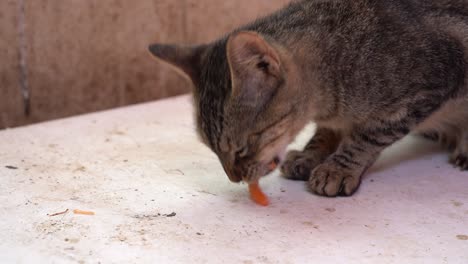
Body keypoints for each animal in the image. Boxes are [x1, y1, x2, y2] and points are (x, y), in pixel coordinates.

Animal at [148, 0, 466, 197]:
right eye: (213, 150)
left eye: (242, 148)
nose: (234, 178)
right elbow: (326, 132)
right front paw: (310, 154)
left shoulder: (424, 91)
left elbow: (367, 136)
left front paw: (339, 167)